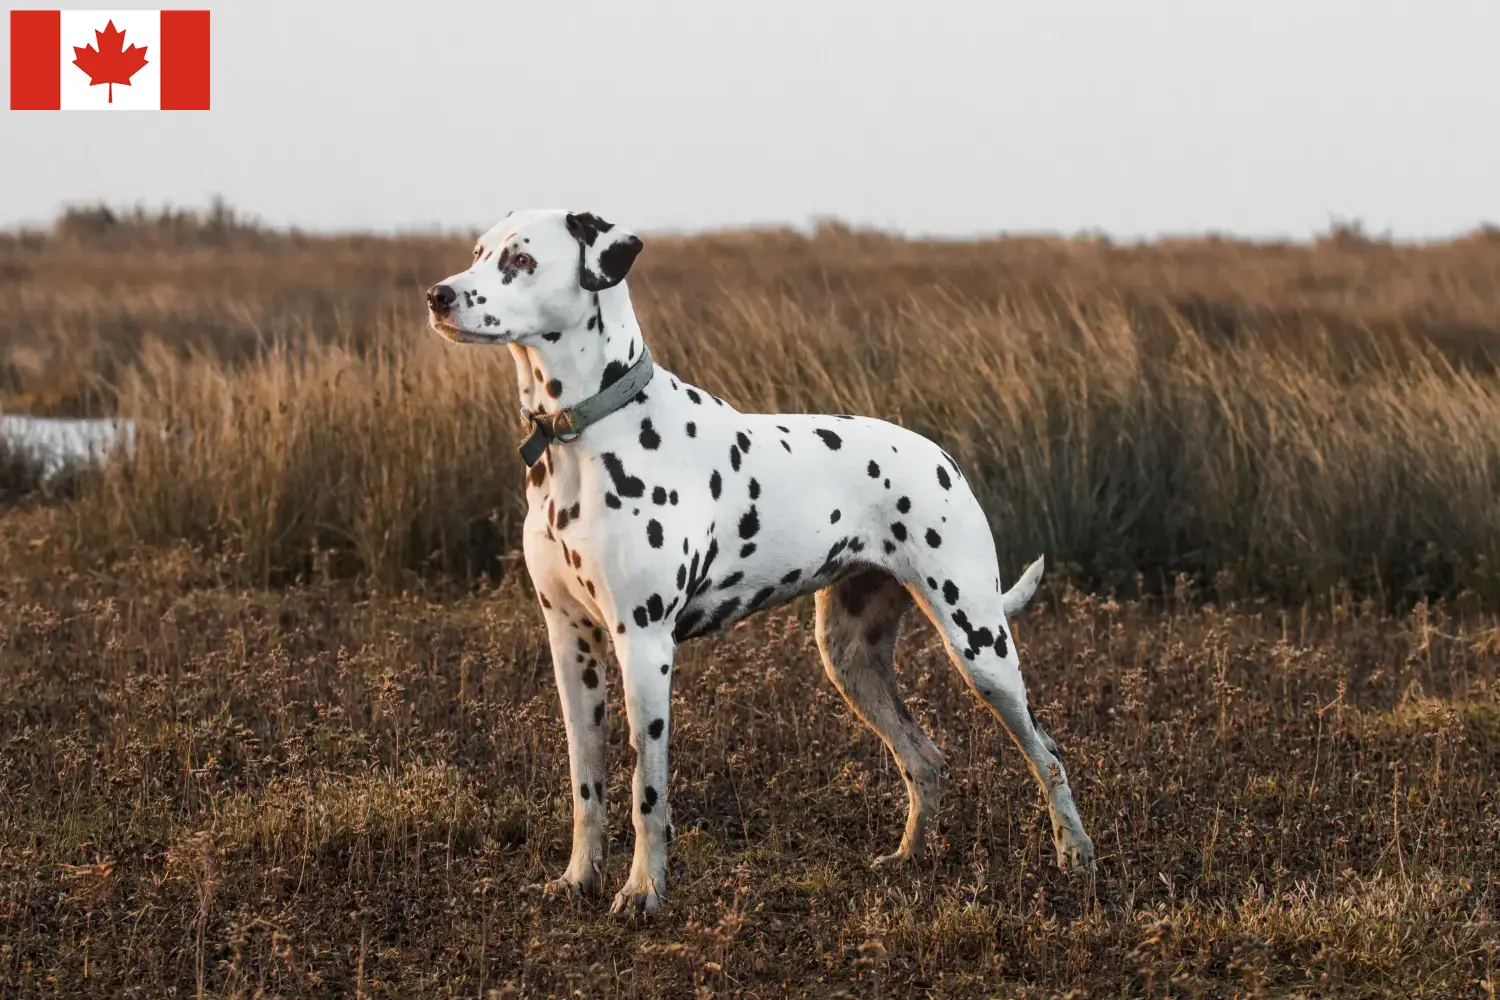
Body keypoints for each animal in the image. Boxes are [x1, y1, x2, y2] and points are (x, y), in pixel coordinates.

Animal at [429, 211, 1098, 917]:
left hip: (979, 645)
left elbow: (647, 792)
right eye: (479, 252)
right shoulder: (570, 643)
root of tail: (942, 457)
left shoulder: (644, 644)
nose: (438, 296)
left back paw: (1075, 855)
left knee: (1047, 752)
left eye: (522, 261)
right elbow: (587, 784)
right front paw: (580, 878)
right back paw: (909, 858)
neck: (583, 436)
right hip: (850, 659)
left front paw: (643, 892)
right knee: (924, 757)